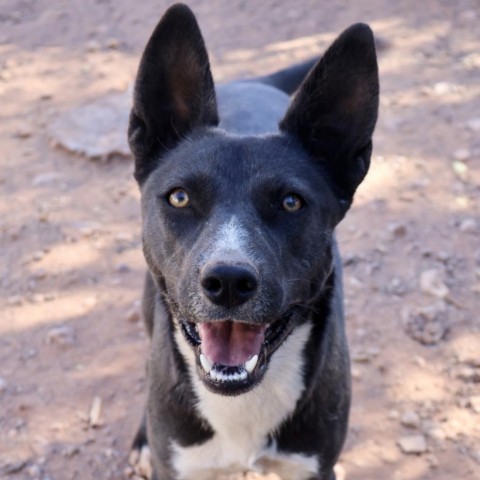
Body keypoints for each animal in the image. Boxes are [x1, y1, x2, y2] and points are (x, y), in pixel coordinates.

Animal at [127, 3, 378, 480]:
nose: (227, 281)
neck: (240, 401)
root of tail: (251, 82)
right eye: (180, 197)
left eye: (291, 202)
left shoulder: (314, 464)